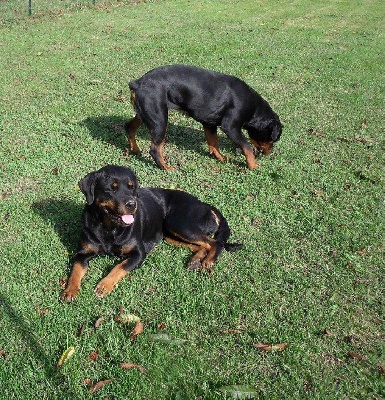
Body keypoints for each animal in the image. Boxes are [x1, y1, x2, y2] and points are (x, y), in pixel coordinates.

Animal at [60, 165, 240, 300]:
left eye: (132, 187)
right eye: (111, 189)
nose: (132, 204)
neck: (108, 227)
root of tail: (204, 204)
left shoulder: (138, 253)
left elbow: (119, 267)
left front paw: (104, 285)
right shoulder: (82, 253)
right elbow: (75, 271)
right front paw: (69, 291)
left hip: (179, 223)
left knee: (214, 242)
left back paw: (208, 261)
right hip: (170, 234)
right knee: (200, 245)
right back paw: (195, 260)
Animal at [124, 64, 280, 170]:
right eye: (273, 139)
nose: (269, 152)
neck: (254, 108)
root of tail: (138, 82)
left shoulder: (209, 124)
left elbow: (214, 143)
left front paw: (221, 158)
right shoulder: (230, 127)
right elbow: (247, 146)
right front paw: (253, 166)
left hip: (144, 114)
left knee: (129, 127)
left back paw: (135, 149)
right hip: (159, 120)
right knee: (155, 149)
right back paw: (166, 168)